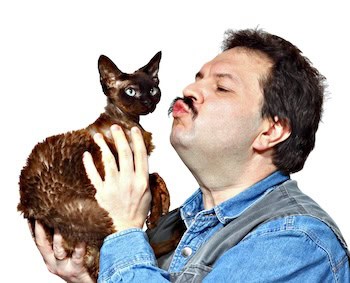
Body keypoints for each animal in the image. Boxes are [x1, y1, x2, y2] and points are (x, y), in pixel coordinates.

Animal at [18, 51, 170, 282]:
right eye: (131, 91)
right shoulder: (128, 164)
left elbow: (157, 177)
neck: (129, 122)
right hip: (97, 216)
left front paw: (160, 209)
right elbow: (154, 177)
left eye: (153, 90)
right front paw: (157, 212)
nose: (147, 102)